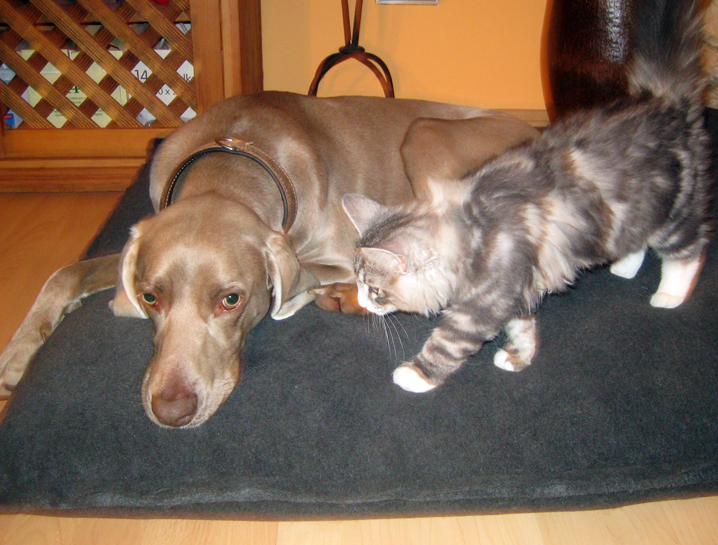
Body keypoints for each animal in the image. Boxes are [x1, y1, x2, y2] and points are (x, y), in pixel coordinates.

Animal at [0, 91, 540, 428]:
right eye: (151, 297)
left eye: (231, 300)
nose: (172, 411)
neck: (233, 157)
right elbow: (64, 271)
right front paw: (15, 357)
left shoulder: (340, 250)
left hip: (423, 134)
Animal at [344, 0, 716, 394]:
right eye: (359, 284)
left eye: (374, 289)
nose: (361, 301)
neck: (470, 233)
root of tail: (663, 103)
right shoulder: (516, 291)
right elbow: (524, 327)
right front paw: (519, 357)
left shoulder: (483, 302)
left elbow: (448, 342)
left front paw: (416, 375)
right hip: (629, 214)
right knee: (635, 240)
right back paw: (625, 267)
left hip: (676, 211)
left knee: (690, 250)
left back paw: (670, 295)